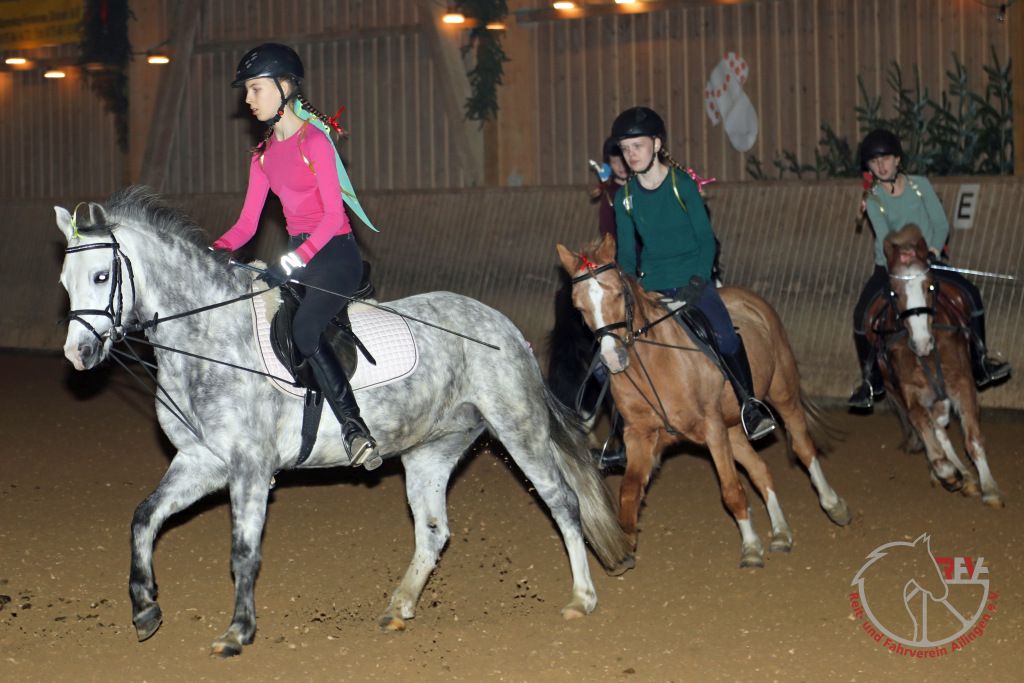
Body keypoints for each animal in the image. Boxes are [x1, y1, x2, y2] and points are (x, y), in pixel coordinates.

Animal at [55, 187, 634, 657]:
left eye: (102, 275)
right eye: (65, 281)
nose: (78, 354)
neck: (209, 337)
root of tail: (504, 326)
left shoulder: (249, 467)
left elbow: (244, 551)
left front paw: (238, 632)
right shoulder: (202, 461)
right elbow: (144, 517)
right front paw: (144, 609)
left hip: (518, 428)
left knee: (562, 501)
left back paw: (582, 598)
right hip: (431, 450)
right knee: (433, 531)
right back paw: (398, 607)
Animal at [555, 234, 851, 568]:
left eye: (619, 294)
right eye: (578, 307)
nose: (612, 358)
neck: (654, 364)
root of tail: (750, 298)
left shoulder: (711, 427)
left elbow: (731, 490)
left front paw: (751, 548)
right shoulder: (640, 436)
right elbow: (629, 492)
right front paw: (625, 547)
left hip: (781, 391)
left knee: (802, 446)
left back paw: (833, 505)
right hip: (733, 427)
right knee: (760, 468)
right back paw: (780, 533)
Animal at [865, 224, 1003, 507]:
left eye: (929, 286)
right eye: (894, 292)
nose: (921, 343)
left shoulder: (962, 382)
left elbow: (973, 438)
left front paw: (990, 488)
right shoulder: (909, 392)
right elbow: (921, 422)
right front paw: (946, 471)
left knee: (940, 424)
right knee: (935, 427)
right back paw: (957, 475)